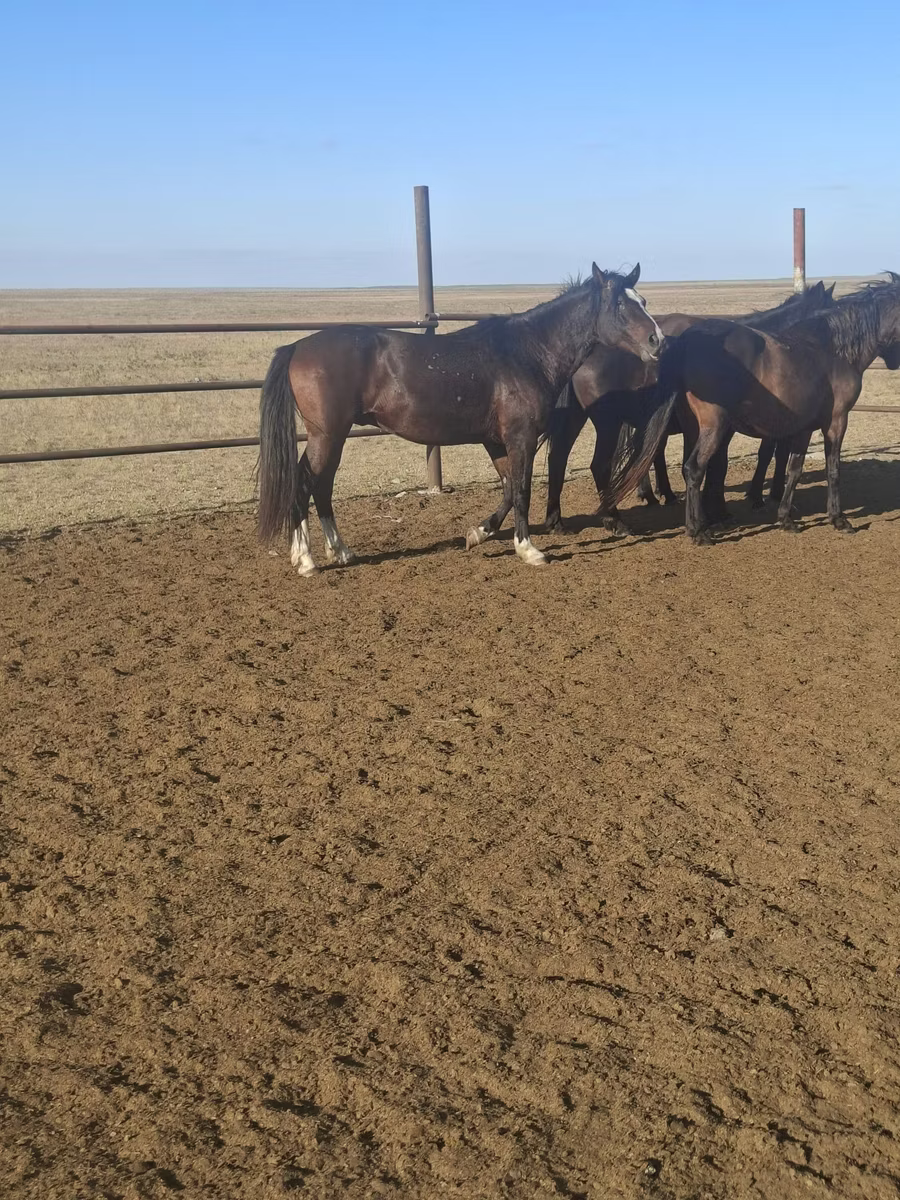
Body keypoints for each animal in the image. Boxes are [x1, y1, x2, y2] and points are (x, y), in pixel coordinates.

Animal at [257, 264, 663, 574]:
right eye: (620, 305)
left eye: (643, 301)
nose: (657, 339)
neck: (529, 352)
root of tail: (297, 346)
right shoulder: (521, 437)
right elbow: (522, 489)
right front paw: (529, 549)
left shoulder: (497, 440)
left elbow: (508, 490)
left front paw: (479, 533)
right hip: (327, 435)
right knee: (304, 484)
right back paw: (306, 560)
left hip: (334, 437)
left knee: (322, 487)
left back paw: (339, 551)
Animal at [544, 281, 836, 533]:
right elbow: (723, 464)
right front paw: (719, 511)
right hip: (608, 422)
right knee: (599, 465)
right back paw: (614, 518)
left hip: (577, 417)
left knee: (558, 459)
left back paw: (557, 520)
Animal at [597, 274, 900, 544]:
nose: (894, 361)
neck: (834, 350)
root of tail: (686, 341)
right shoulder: (836, 421)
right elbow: (832, 468)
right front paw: (838, 519)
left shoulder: (803, 427)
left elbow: (794, 469)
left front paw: (785, 517)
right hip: (712, 427)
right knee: (693, 468)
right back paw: (697, 531)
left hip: (692, 427)